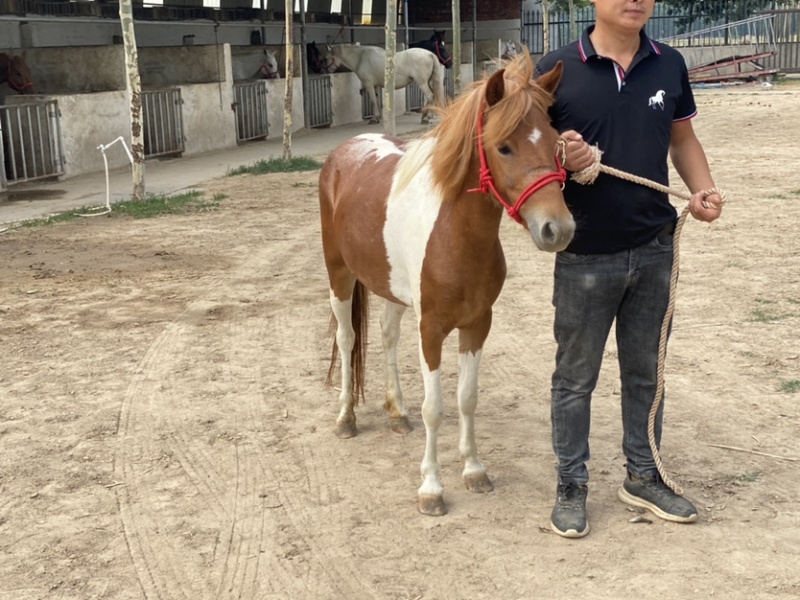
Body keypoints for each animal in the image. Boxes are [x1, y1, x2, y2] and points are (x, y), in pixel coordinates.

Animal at [317, 44, 445, 124]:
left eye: (325, 58)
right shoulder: (376, 86)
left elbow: (373, 101)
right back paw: (425, 116)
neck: (361, 57)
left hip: (422, 83)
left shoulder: (369, 84)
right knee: (432, 96)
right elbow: (377, 101)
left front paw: (374, 119)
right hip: (427, 82)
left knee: (430, 96)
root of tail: (429, 54)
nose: (322, 71)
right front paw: (379, 118)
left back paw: (427, 117)